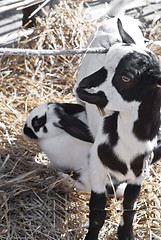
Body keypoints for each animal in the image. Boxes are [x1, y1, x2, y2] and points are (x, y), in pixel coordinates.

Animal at [76, 18, 161, 240]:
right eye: (105, 60)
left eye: (126, 78)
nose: (83, 87)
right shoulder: (97, 165)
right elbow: (97, 211)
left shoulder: (140, 173)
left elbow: (130, 206)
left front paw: (126, 234)